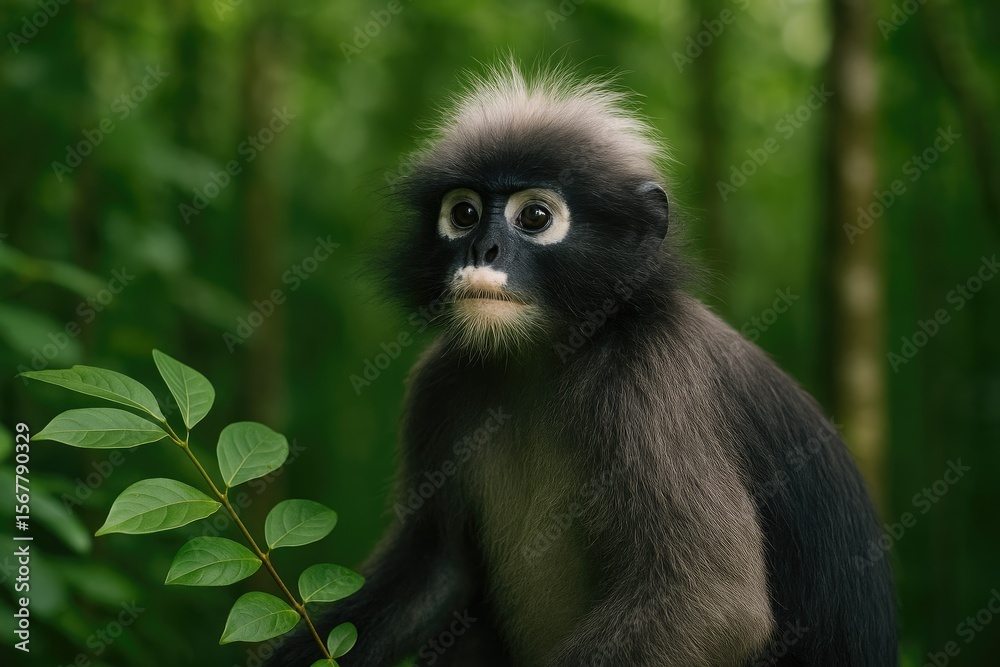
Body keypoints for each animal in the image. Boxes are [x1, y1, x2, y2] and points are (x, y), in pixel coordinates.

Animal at [267, 63, 896, 667]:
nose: (481, 250)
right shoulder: (441, 381)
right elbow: (437, 568)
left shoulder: (649, 372)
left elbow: (712, 600)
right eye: (464, 213)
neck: (542, 360)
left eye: (535, 217)